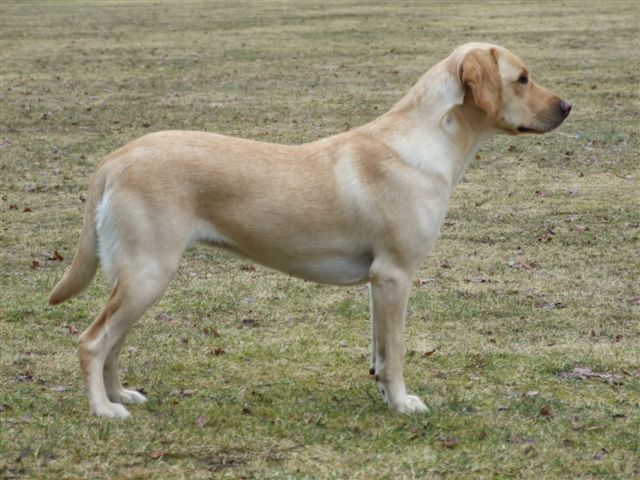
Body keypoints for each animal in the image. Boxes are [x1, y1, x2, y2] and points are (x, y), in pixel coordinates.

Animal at [49, 43, 571, 418]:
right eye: (522, 78)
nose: (567, 105)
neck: (427, 142)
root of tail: (117, 157)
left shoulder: (378, 283)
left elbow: (380, 351)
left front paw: (385, 395)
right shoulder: (396, 275)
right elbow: (398, 352)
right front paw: (403, 403)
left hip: (138, 280)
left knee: (112, 343)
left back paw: (121, 396)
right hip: (148, 274)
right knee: (93, 342)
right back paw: (103, 410)